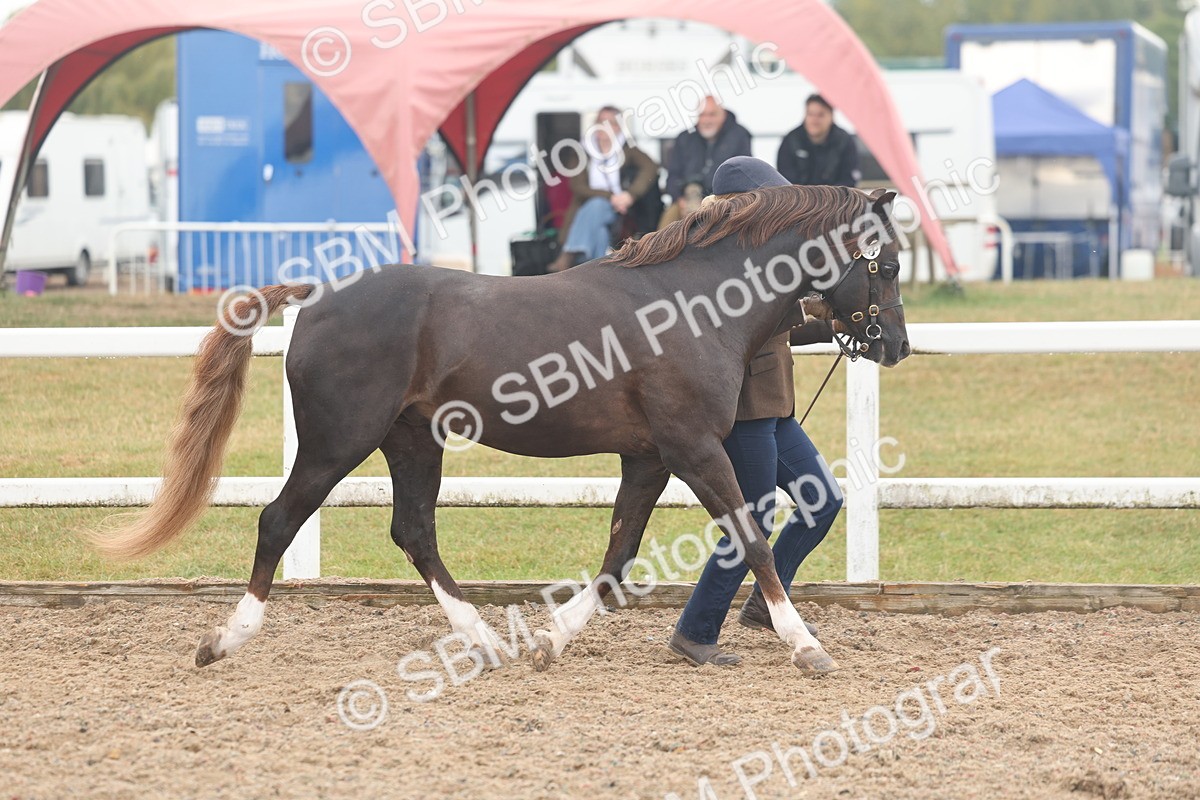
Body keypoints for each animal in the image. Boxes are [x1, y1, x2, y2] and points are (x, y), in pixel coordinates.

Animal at [92, 184, 909, 674]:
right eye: (890, 263)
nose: (895, 346)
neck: (692, 302)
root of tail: (318, 296)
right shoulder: (694, 448)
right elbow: (751, 537)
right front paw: (807, 646)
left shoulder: (649, 457)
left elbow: (618, 554)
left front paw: (549, 640)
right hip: (336, 442)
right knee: (279, 520)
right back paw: (226, 638)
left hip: (411, 441)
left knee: (413, 531)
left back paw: (485, 640)